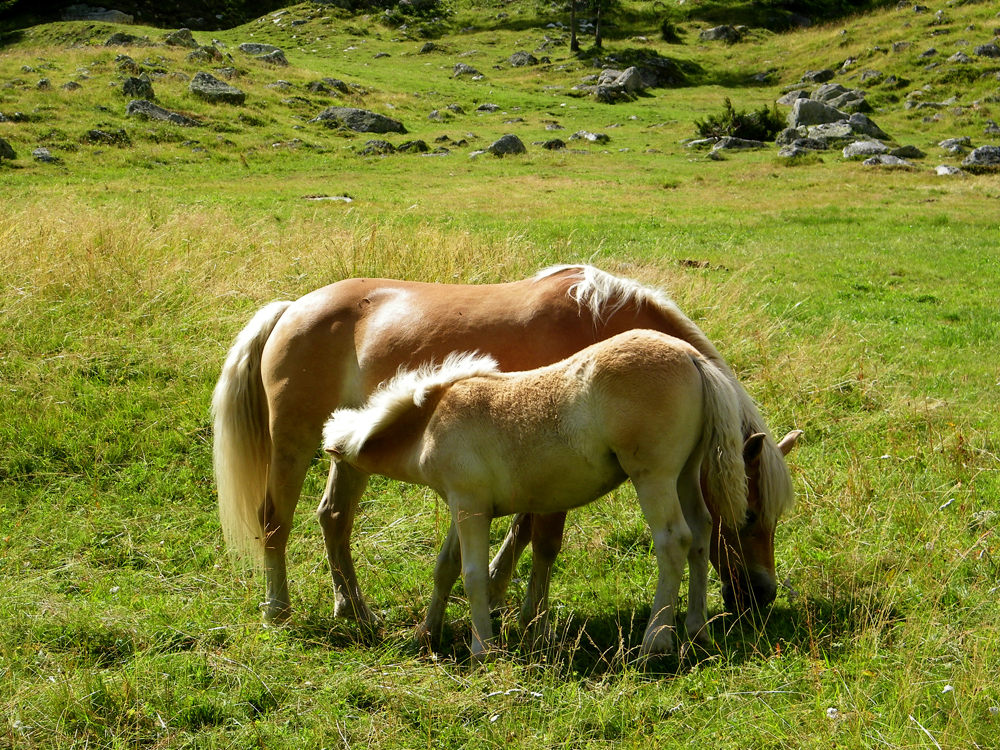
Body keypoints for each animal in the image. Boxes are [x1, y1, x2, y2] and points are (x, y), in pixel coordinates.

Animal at [211, 264, 796, 624]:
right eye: (748, 517)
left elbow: (522, 530)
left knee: (333, 518)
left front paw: (495, 592)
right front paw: (517, 607)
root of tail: (292, 307)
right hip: (293, 443)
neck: (597, 322)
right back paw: (278, 609)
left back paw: (354, 609)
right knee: (275, 520)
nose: (762, 596)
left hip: (350, 448)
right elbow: (540, 536)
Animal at [324, 332, 752, 660]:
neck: (429, 422)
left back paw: (655, 641)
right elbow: (445, 567)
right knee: (701, 532)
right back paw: (697, 629)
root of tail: (693, 357)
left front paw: (483, 650)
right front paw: (426, 634)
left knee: (673, 540)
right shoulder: (465, 506)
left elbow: (472, 575)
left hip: (654, 477)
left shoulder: (470, 506)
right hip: (686, 473)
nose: (331, 503)